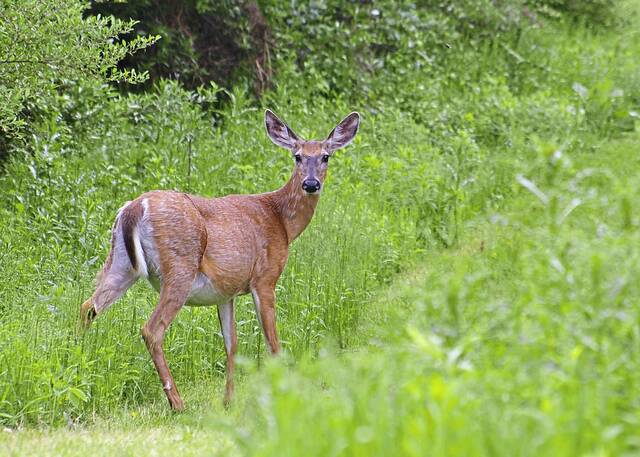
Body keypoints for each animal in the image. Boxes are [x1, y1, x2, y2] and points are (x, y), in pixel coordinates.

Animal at [79, 109, 360, 410]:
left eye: (325, 156)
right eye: (297, 156)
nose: (310, 184)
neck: (282, 221)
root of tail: (134, 207)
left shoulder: (227, 291)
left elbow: (231, 343)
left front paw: (228, 401)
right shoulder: (265, 277)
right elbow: (273, 343)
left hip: (120, 263)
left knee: (88, 307)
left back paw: (80, 364)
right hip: (179, 268)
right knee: (151, 329)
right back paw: (177, 402)